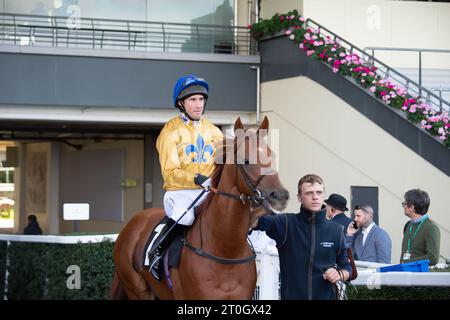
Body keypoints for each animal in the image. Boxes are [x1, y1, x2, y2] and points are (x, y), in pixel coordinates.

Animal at [110, 117, 290, 300]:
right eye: (245, 160)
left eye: (272, 156)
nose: (280, 196)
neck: (226, 251)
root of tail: (134, 222)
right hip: (138, 291)